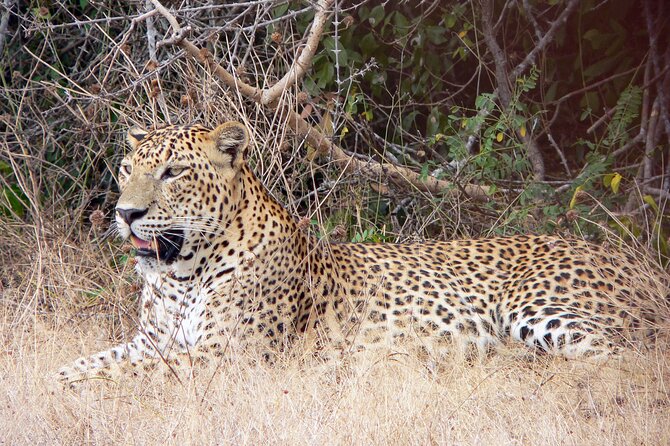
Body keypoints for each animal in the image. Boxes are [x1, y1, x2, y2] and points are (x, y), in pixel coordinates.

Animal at [56, 121, 666, 387]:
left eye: (174, 172)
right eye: (126, 168)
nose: (125, 213)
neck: (180, 274)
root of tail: (640, 263)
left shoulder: (225, 356)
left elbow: (116, 375)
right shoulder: (153, 342)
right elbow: (89, 362)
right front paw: (53, 381)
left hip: (538, 309)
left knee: (620, 359)